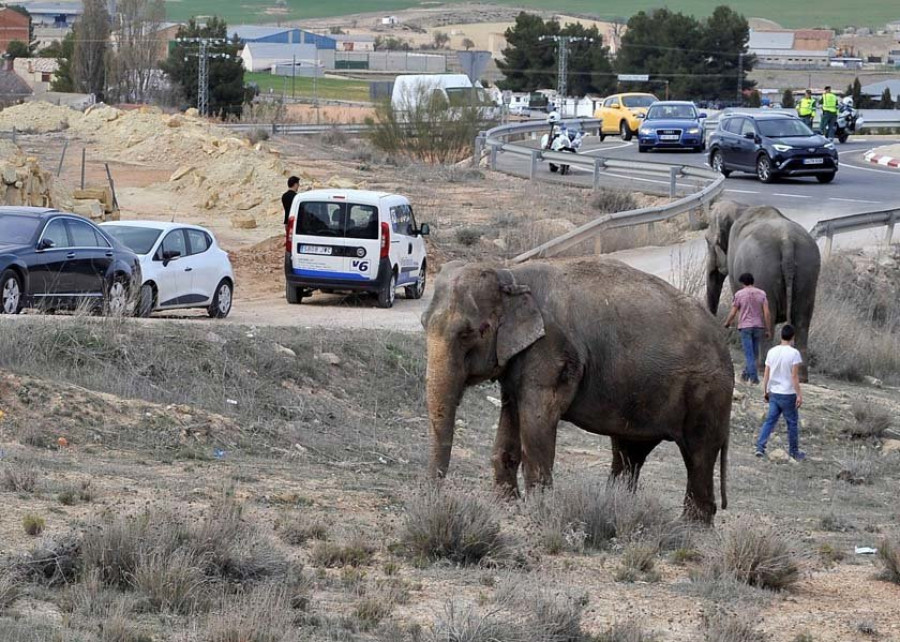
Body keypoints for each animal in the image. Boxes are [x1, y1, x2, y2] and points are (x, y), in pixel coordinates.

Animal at [422, 258, 732, 524]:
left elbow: (537, 420)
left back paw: (691, 526)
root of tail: (724, 342)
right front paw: (505, 504)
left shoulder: (550, 353)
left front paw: (539, 510)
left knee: (699, 454)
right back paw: (619, 508)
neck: (510, 274)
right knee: (629, 452)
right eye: (424, 323)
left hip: (707, 393)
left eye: (468, 333)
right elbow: (511, 416)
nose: (437, 498)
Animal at [704, 201, 824, 380]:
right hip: (808, 270)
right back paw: (802, 377)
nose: (722, 326)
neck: (741, 207)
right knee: (802, 319)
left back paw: (762, 368)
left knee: (769, 315)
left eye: (706, 240)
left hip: (764, 271)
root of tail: (787, 242)